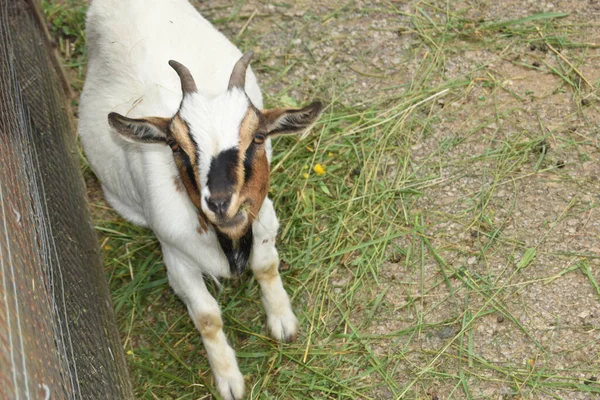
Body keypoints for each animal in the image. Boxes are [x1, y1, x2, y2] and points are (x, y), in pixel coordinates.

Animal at [79, 1, 324, 398]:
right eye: (176, 145)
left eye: (258, 137)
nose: (221, 202)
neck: (227, 238)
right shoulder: (176, 259)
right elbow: (207, 317)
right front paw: (228, 379)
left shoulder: (264, 221)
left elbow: (266, 266)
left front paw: (283, 321)